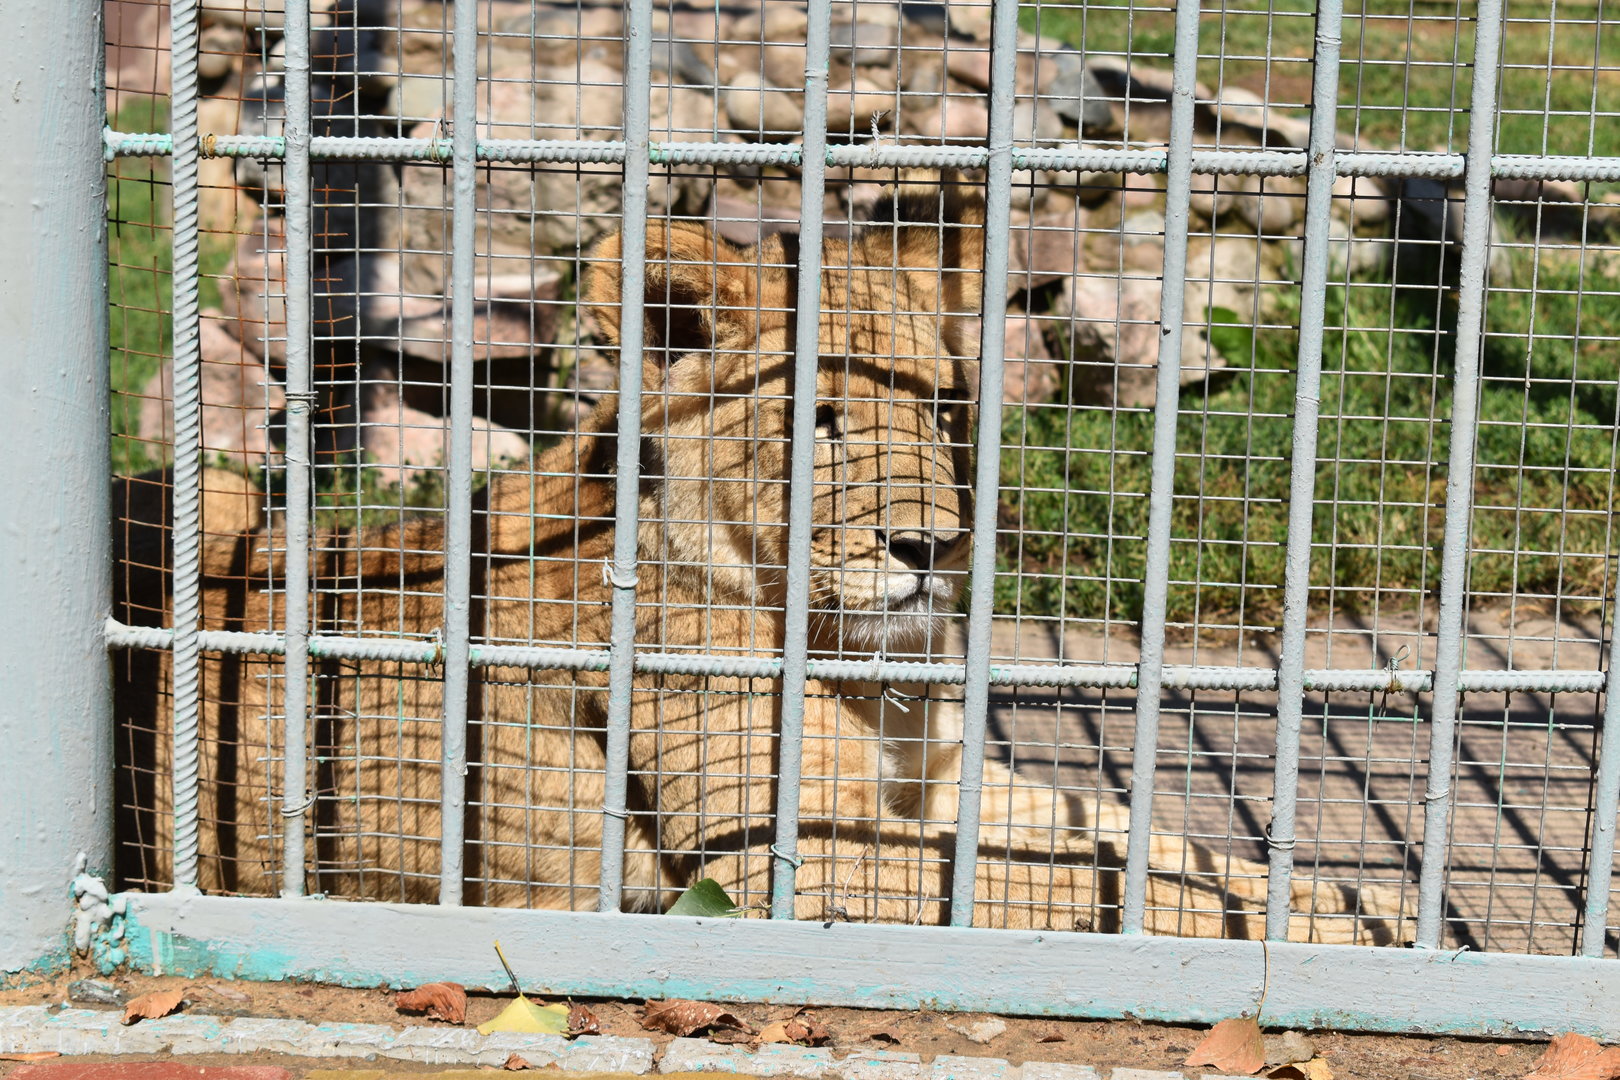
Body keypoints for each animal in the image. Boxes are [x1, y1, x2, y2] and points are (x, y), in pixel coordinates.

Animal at [114, 172, 1406, 944]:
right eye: (817, 424)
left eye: (943, 411)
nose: (929, 547)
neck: (856, 658)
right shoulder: (801, 858)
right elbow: (1053, 880)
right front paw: (1337, 931)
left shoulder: (941, 778)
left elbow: (1133, 844)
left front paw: (1363, 903)